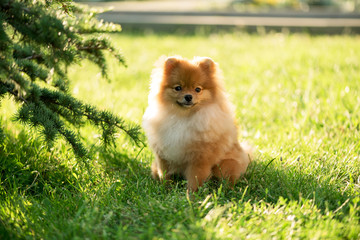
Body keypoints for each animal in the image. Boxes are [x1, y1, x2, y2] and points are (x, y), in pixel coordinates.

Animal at [142, 55, 249, 191]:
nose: (188, 96)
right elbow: (165, 174)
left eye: (198, 89)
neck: (182, 117)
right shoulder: (163, 154)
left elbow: (195, 179)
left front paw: (191, 195)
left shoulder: (200, 158)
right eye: (178, 88)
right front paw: (166, 189)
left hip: (226, 165)